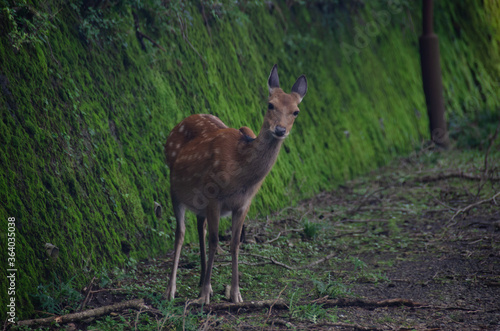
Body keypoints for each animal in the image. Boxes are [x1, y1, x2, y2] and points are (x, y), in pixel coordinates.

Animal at [164, 63, 306, 304]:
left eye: (296, 111)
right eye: (270, 104)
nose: (280, 130)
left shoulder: (244, 203)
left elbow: (235, 243)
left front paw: (235, 293)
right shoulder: (213, 196)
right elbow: (215, 242)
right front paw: (204, 296)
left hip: (198, 202)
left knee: (199, 227)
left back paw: (203, 282)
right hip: (175, 189)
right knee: (180, 233)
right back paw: (171, 290)